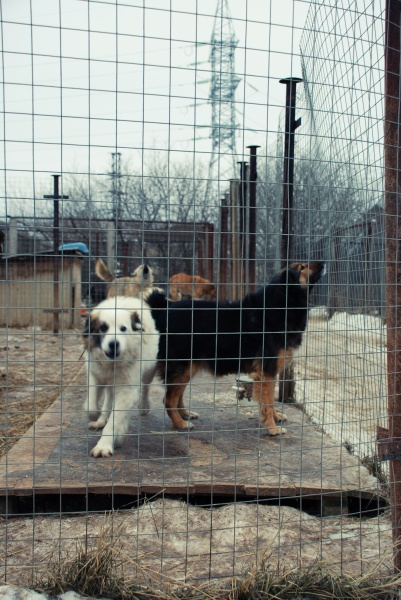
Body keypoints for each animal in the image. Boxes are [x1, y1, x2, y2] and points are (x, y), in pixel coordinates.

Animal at [82, 296, 158, 460]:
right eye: (103, 328)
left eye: (123, 329)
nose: (114, 344)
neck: (113, 364)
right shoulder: (95, 375)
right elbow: (91, 406)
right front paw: (96, 417)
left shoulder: (127, 390)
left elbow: (115, 420)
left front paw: (104, 445)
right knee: (108, 399)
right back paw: (101, 420)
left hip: (148, 370)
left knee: (145, 387)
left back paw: (143, 406)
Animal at [145, 262, 324, 436]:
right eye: (302, 267)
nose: (323, 264)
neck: (279, 306)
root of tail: (165, 309)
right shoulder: (266, 372)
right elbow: (267, 402)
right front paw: (272, 428)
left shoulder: (270, 372)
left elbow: (270, 401)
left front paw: (276, 417)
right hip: (183, 368)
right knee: (168, 400)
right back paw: (180, 423)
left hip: (187, 368)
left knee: (176, 396)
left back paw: (185, 414)